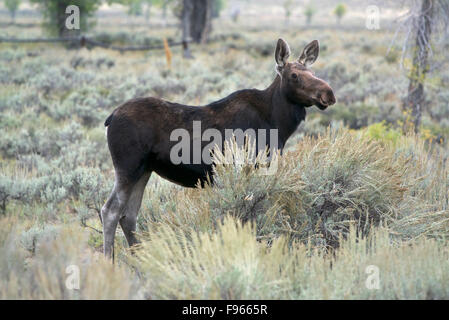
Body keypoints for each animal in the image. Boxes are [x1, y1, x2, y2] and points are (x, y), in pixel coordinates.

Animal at [100, 38, 332, 258]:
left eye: (312, 72)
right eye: (294, 75)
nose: (328, 93)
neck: (277, 123)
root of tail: (110, 117)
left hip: (144, 170)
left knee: (129, 216)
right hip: (128, 167)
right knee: (110, 211)